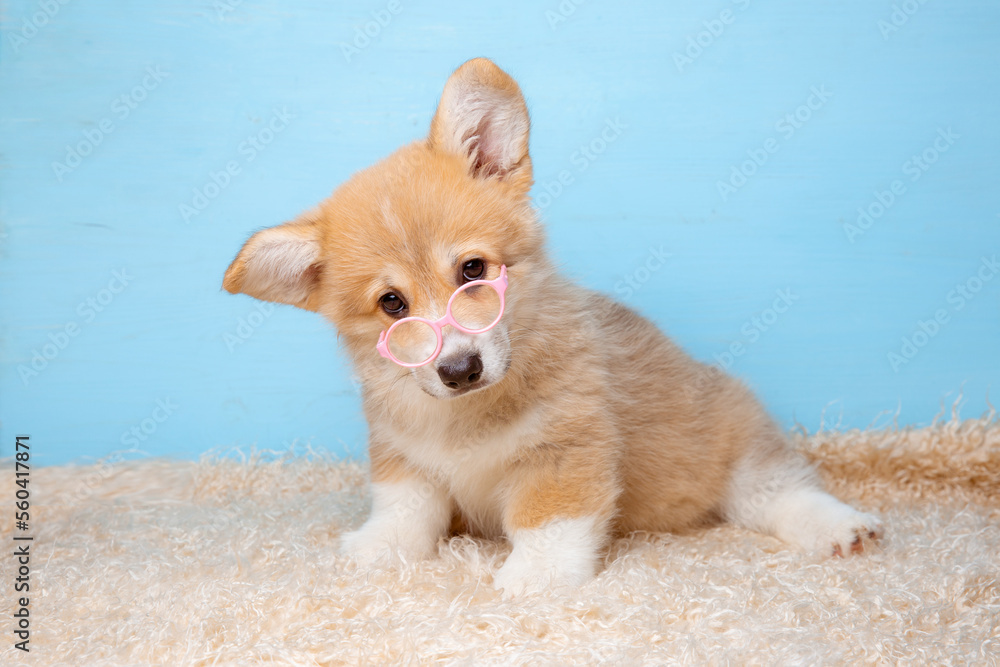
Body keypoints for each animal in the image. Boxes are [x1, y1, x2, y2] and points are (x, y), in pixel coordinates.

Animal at [225, 57, 884, 596]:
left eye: (472, 269)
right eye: (391, 303)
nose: (459, 370)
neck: (467, 416)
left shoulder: (566, 452)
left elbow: (547, 522)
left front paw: (534, 577)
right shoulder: (403, 457)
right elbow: (406, 511)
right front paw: (378, 549)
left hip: (733, 446)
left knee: (780, 492)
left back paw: (842, 528)